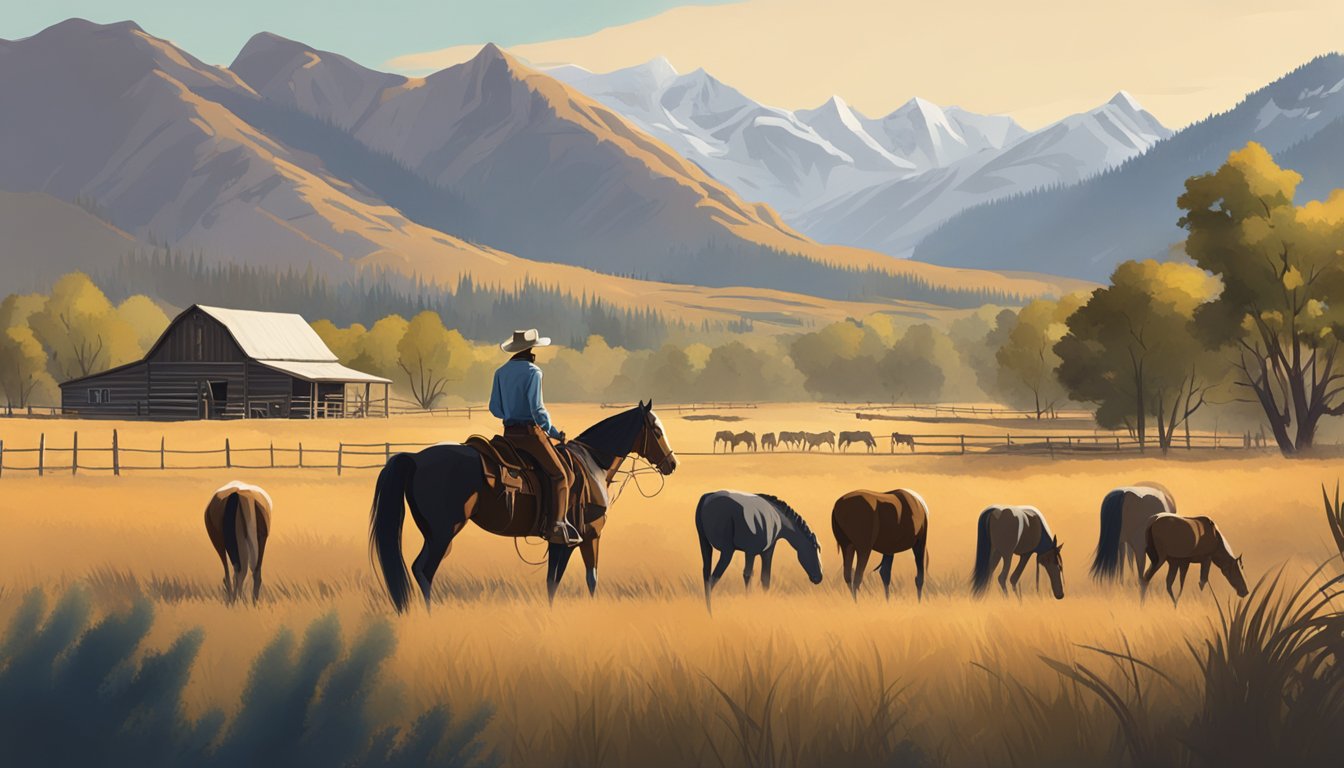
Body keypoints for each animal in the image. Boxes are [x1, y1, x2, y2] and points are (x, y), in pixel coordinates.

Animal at [368, 403, 677, 613]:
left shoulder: (559, 541)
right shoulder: (588, 535)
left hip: (434, 533)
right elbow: (589, 578)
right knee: (424, 570)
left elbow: (553, 581)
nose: (672, 463)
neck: (593, 464)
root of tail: (415, 458)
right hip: (444, 532)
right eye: (656, 430)